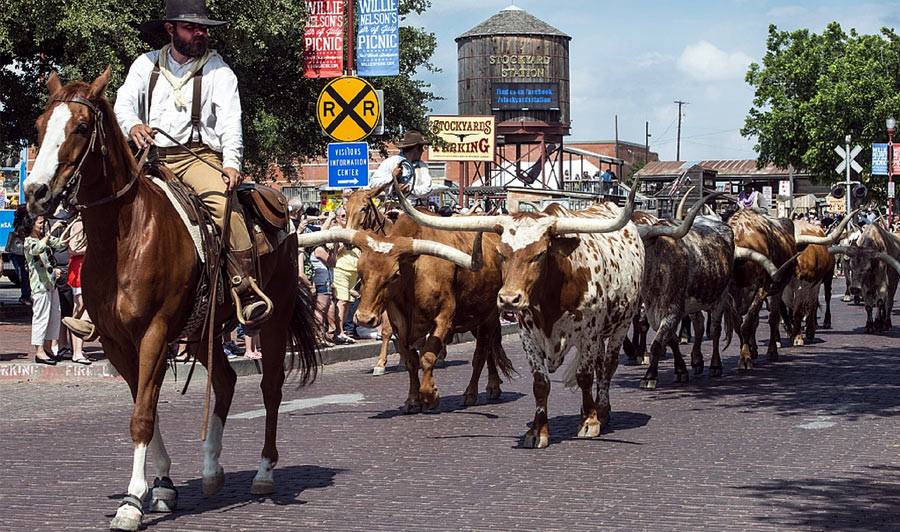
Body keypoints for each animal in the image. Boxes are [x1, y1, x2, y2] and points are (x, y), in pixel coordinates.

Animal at [24, 66, 318, 532]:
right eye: (38, 126)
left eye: (82, 126)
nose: (35, 192)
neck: (125, 234)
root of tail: (284, 215)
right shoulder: (118, 342)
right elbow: (146, 406)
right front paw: (161, 486)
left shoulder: (155, 334)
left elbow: (142, 415)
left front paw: (132, 501)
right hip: (204, 331)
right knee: (226, 381)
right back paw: (212, 470)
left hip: (272, 318)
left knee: (271, 388)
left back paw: (264, 473)